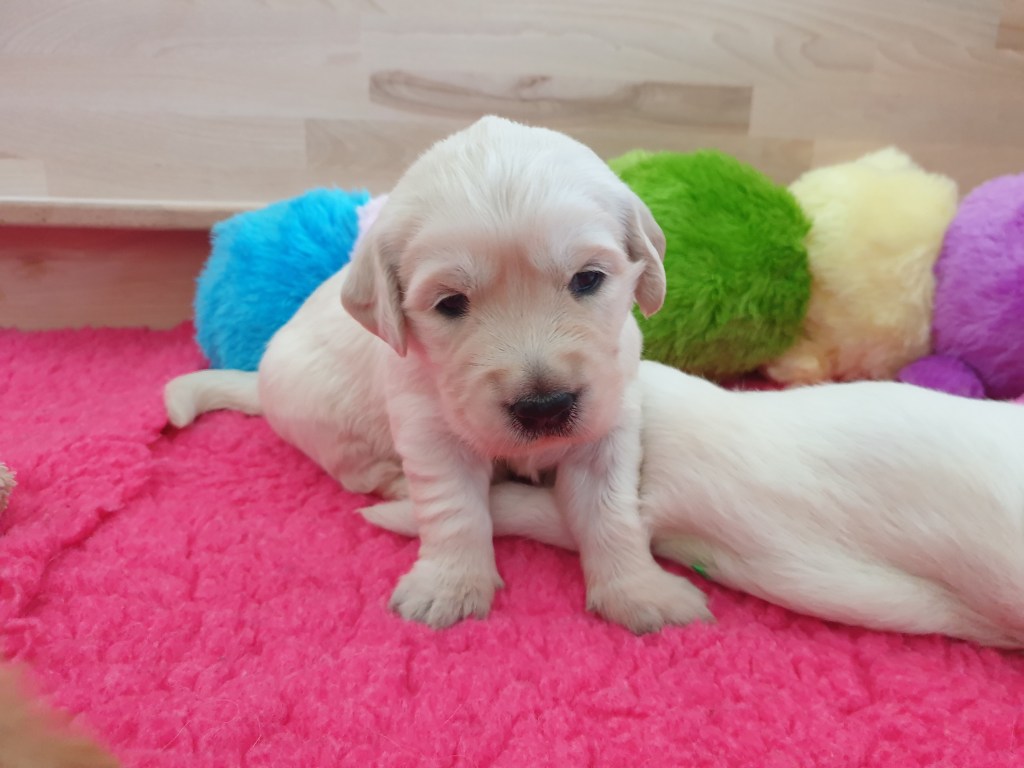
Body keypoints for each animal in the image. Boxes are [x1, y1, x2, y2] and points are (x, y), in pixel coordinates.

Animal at [166, 116, 711, 633]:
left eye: (588, 279)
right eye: (450, 303)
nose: (545, 408)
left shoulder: (610, 423)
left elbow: (612, 511)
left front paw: (640, 593)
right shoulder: (429, 428)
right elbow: (453, 509)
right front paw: (449, 589)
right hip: (323, 420)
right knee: (357, 471)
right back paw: (396, 486)